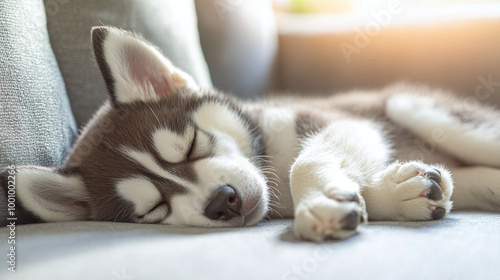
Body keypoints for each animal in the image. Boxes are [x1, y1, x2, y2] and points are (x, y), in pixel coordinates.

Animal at [6, 25, 500, 241]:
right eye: (154, 209)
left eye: (191, 146)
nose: (221, 201)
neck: (269, 161)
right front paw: (397, 193)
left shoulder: (340, 119)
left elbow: (307, 160)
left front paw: (321, 200)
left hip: (413, 106)